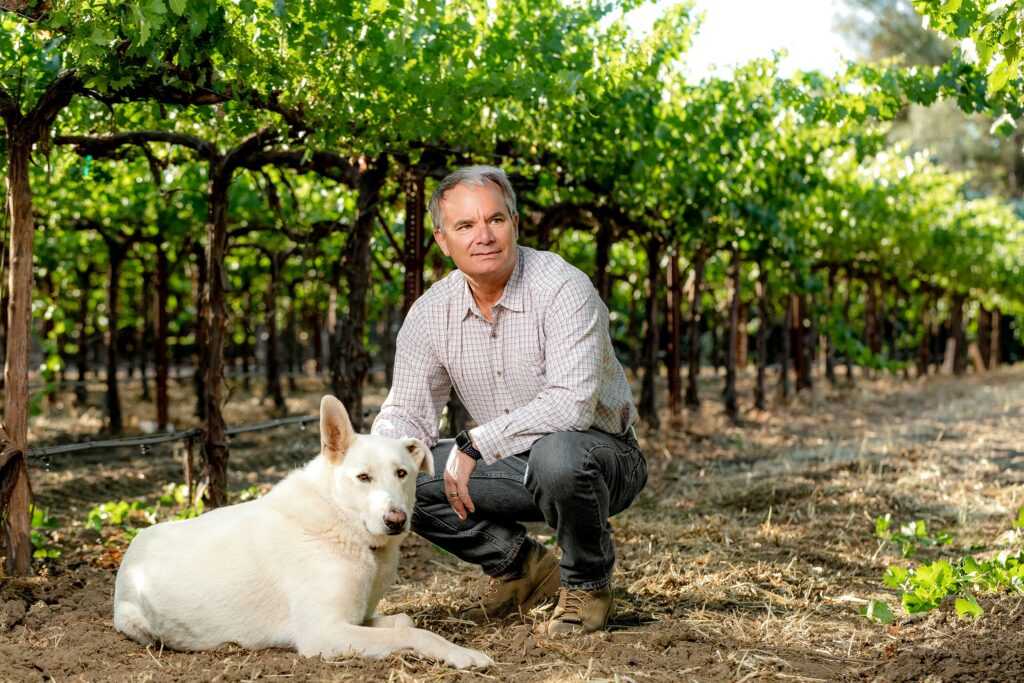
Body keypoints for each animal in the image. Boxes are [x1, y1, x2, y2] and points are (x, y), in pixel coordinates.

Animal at [111, 393, 491, 671]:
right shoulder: (324, 633)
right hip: (135, 620)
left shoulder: (357, 618)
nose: (396, 520)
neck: (342, 523)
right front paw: (462, 653)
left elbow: (405, 621)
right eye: (363, 477)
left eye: (402, 473)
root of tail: (133, 547)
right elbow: (415, 634)